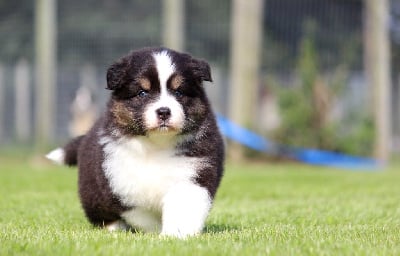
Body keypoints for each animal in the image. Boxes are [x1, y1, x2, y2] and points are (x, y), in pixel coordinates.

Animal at [47, 46, 225, 238]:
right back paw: (114, 227)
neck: (157, 145)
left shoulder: (193, 172)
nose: (164, 112)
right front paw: (156, 231)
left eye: (178, 92)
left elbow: (183, 205)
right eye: (142, 93)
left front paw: (176, 234)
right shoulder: (121, 183)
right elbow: (142, 214)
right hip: (92, 193)